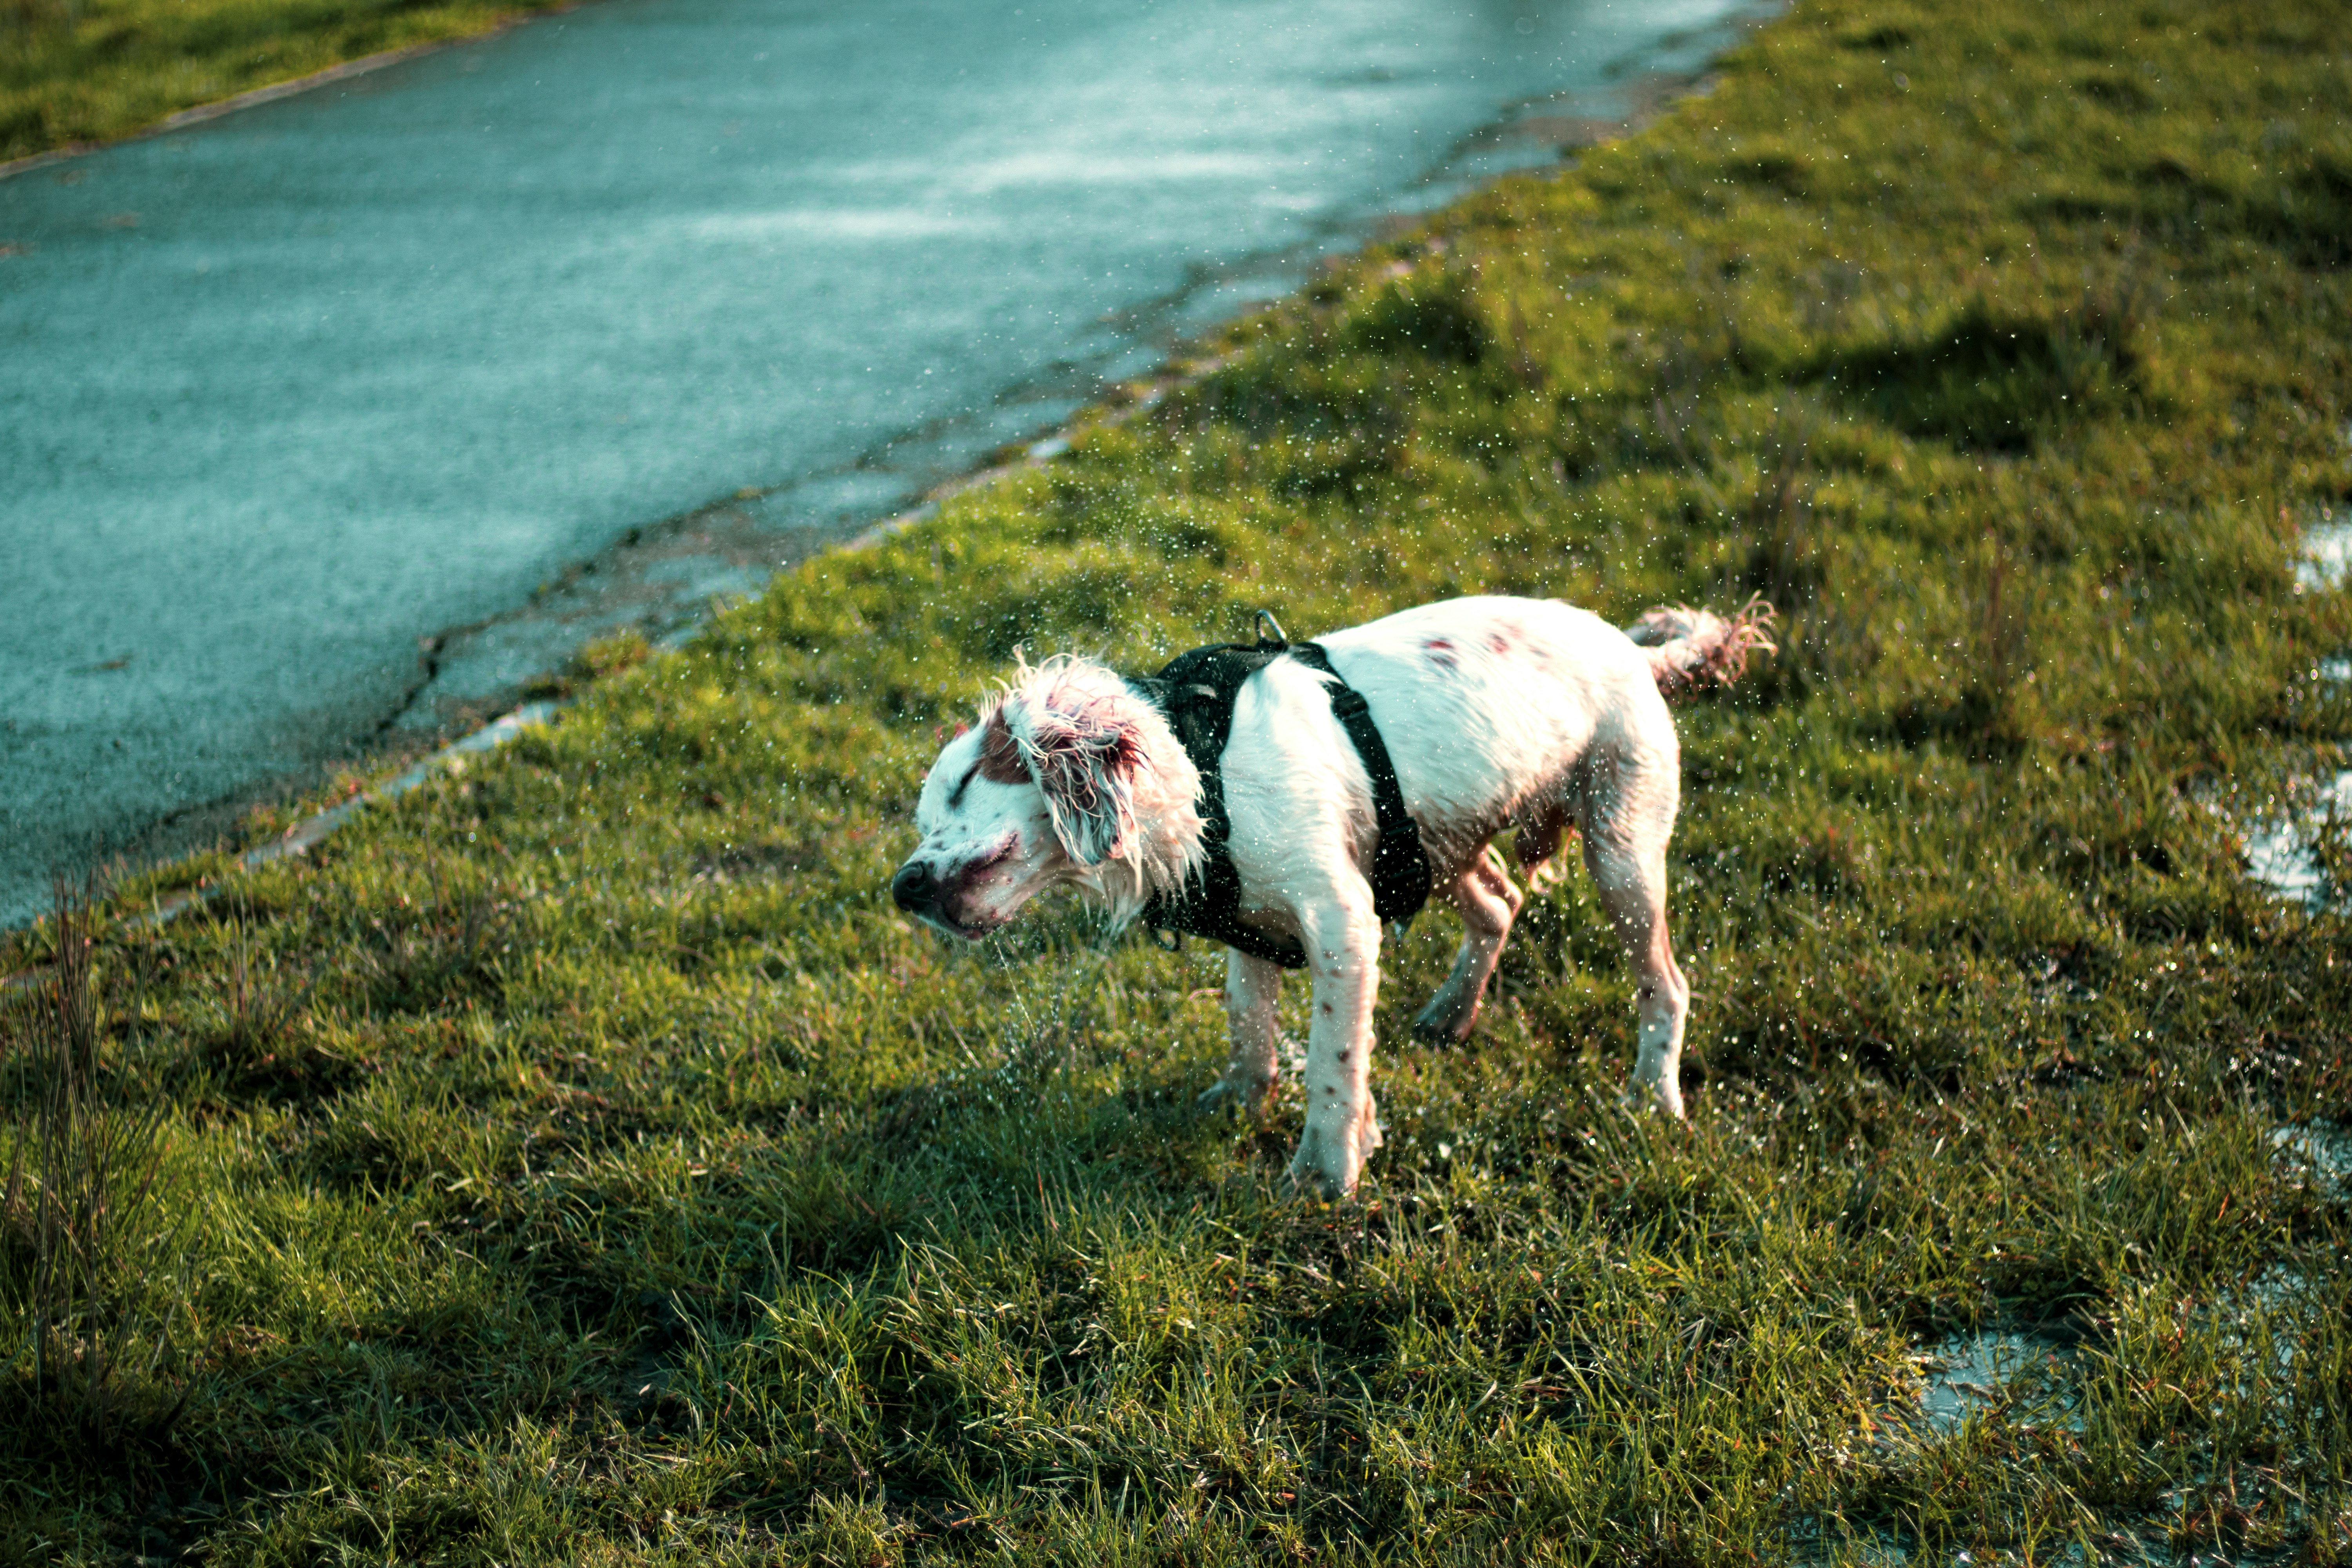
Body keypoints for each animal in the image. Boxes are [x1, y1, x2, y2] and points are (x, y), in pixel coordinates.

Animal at [889, 595, 1769, 1194]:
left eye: (964, 784)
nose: (902, 887)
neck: (1200, 768)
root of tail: (1630, 649)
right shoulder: (1250, 928)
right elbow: (1249, 1029)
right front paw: (1238, 1102)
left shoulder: (1343, 925)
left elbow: (1331, 1063)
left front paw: (1325, 1170)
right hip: (1433, 846)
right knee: (1500, 903)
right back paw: (1452, 1012)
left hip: (1620, 849)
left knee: (1666, 984)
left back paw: (1653, 1095)